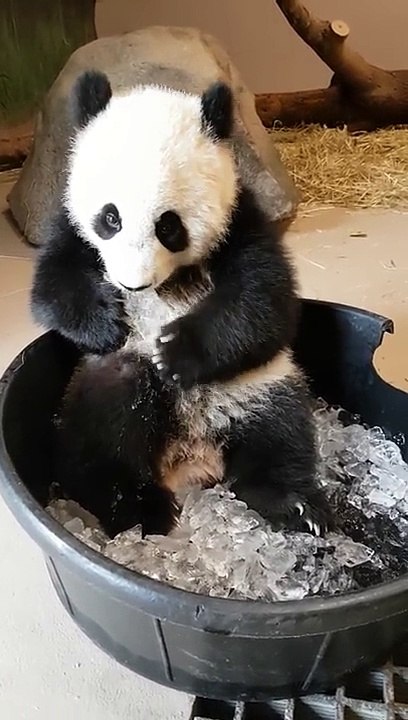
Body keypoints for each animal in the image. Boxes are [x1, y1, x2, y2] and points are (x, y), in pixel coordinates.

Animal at [31, 70, 331, 539]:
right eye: (110, 218)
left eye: (169, 226)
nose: (132, 284)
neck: (169, 283)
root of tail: (191, 458)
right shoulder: (70, 229)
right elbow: (53, 285)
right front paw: (106, 323)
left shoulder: (241, 221)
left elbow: (265, 305)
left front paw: (175, 352)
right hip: (103, 383)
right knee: (105, 432)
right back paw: (140, 508)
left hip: (255, 385)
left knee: (281, 434)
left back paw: (293, 503)